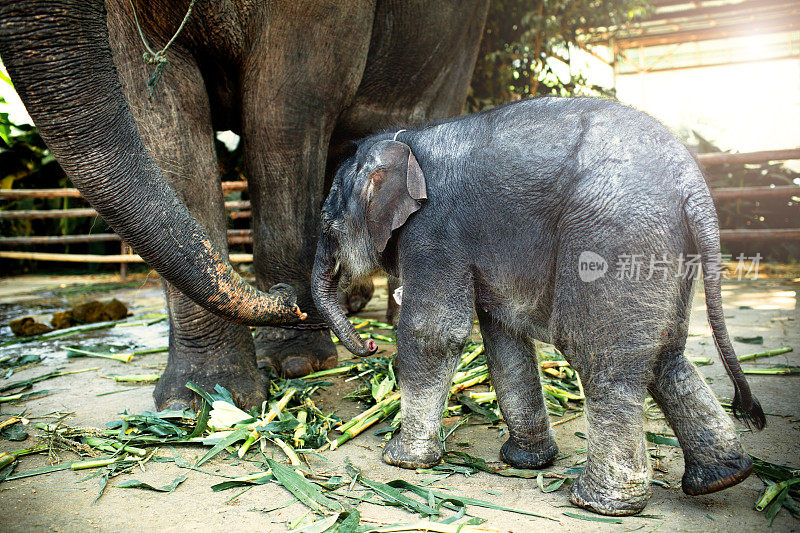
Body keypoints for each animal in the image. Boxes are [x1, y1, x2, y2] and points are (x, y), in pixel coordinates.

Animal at [310, 96, 764, 516]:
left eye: (328, 226)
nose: (369, 346)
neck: (405, 139)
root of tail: (694, 184)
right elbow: (503, 339)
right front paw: (527, 462)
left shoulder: (433, 231)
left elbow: (434, 334)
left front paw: (400, 461)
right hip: (664, 251)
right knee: (664, 356)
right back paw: (723, 478)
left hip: (614, 238)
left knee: (600, 360)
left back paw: (597, 503)